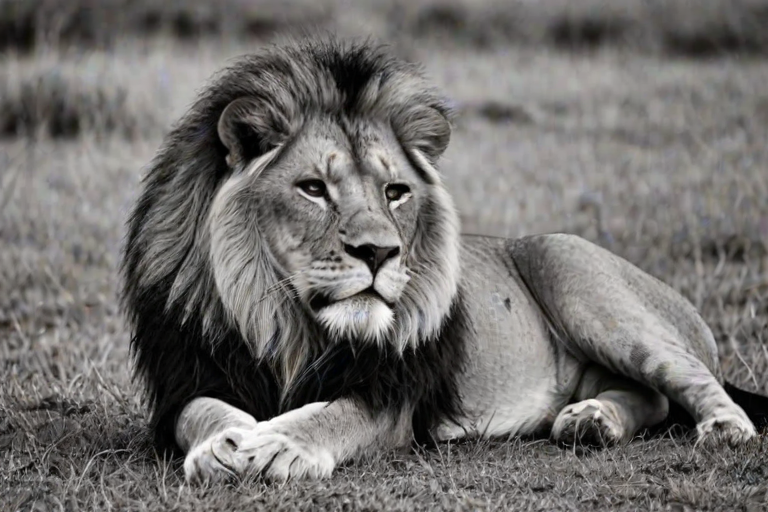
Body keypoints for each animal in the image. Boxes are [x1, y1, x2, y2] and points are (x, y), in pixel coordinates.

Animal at [121, 37, 768, 484]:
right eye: (313, 189)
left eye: (395, 192)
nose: (379, 252)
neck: (286, 323)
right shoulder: (186, 376)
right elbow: (203, 414)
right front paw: (226, 443)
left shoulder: (392, 395)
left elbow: (329, 415)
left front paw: (278, 444)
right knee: (651, 398)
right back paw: (590, 421)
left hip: (573, 271)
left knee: (689, 378)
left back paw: (724, 427)